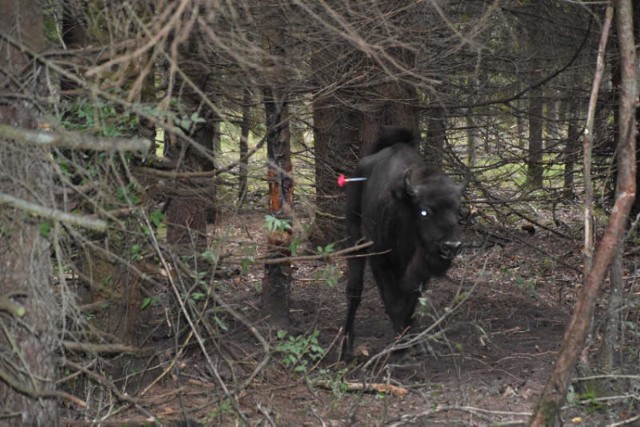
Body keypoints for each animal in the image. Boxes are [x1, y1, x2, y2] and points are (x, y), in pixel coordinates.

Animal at [342, 128, 462, 362]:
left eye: (457, 210)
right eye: (424, 211)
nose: (451, 246)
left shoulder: (421, 270)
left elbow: (410, 303)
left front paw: (416, 344)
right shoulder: (380, 261)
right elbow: (393, 302)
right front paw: (400, 351)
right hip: (355, 237)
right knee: (354, 289)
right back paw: (345, 346)